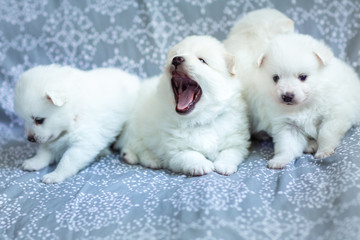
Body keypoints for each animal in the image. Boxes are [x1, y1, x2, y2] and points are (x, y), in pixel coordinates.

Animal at [118, 34, 250, 175]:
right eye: (176, 54)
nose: (177, 59)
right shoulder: (174, 151)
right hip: (134, 127)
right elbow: (190, 154)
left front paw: (224, 166)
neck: (199, 120)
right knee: (134, 145)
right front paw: (202, 165)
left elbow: (230, 152)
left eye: (202, 60)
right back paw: (147, 159)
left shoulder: (237, 140)